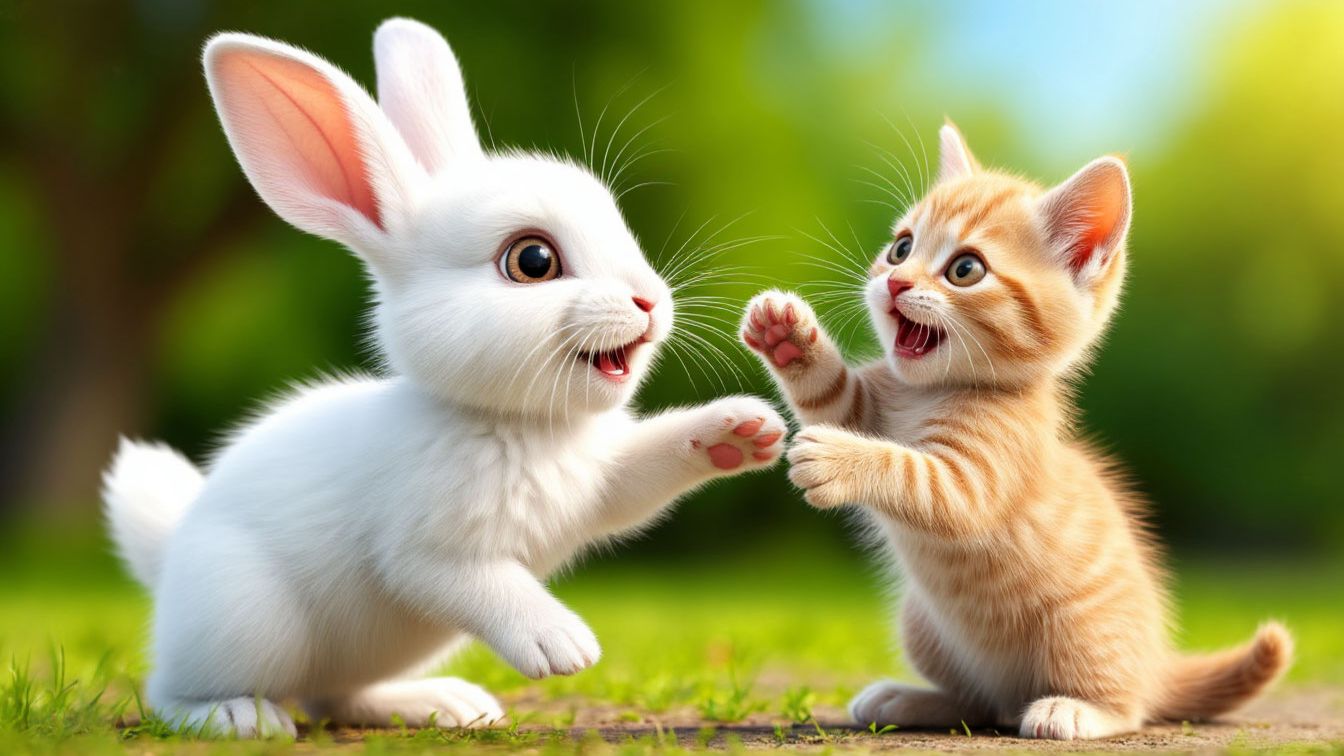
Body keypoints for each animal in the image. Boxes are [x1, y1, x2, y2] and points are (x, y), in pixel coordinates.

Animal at [101, 17, 786, 738]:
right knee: (174, 692)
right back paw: (241, 717)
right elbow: (488, 585)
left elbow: (648, 471)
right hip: (244, 619)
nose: (649, 301)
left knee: (335, 696)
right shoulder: (426, 554)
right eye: (532, 260)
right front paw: (563, 645)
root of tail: (167, 557)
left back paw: (442, 704)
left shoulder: (605, 485)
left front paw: (745, 430)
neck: (515, 425)